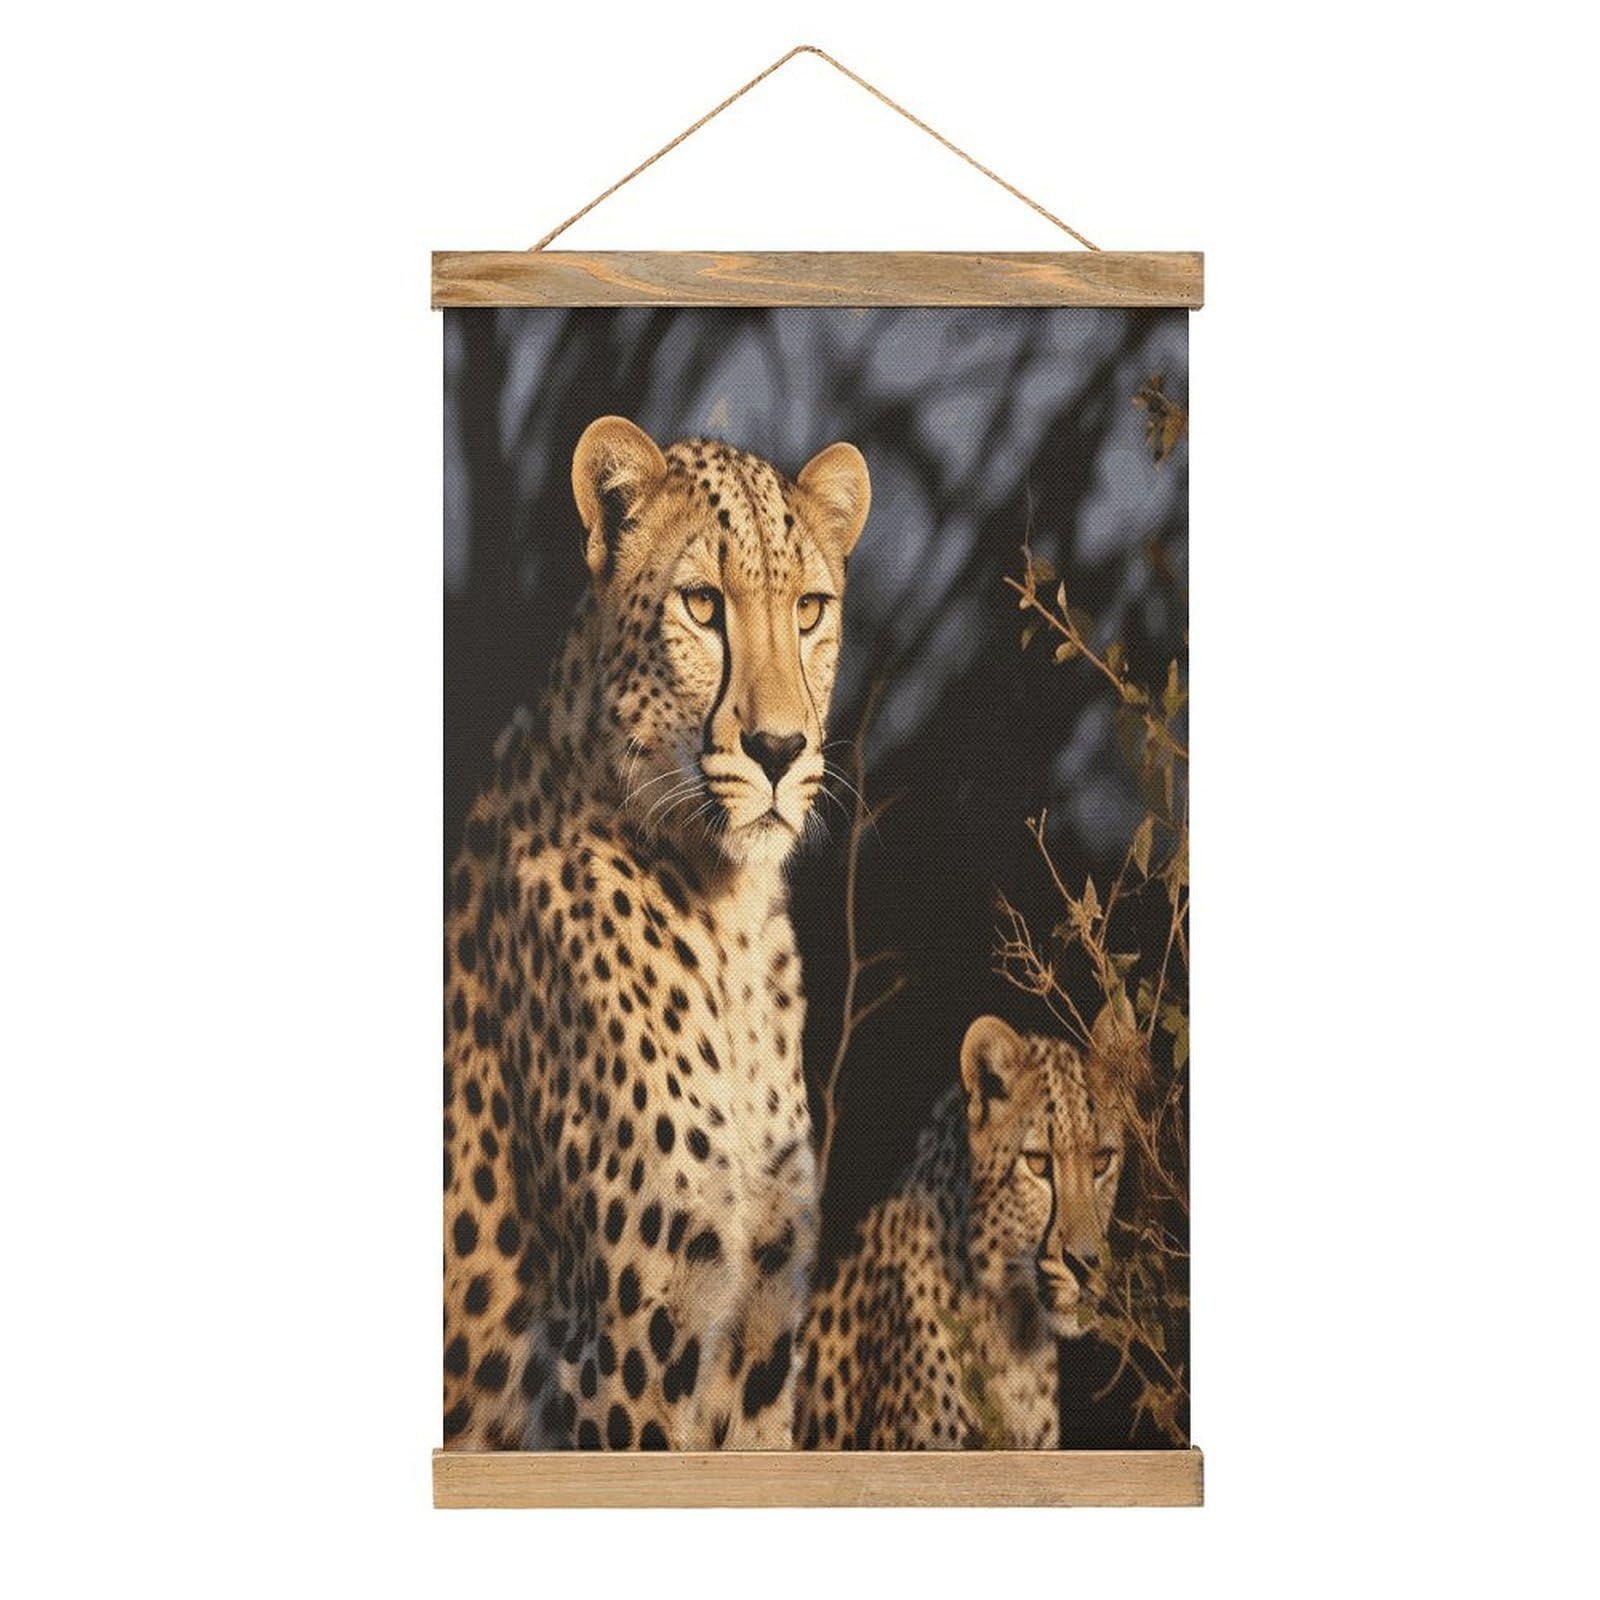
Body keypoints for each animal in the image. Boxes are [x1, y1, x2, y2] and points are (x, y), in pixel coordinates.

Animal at [442, 416, 870, 1450]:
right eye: (703, 605)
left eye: (809, 610)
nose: (779, 750)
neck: (730, 921)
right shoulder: (622, 1347)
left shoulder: (760, 1337)